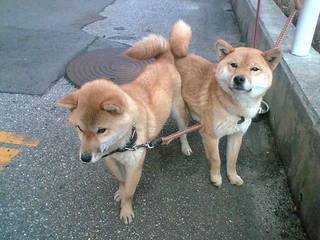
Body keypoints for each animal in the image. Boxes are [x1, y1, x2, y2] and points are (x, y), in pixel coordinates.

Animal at [56, 34, 191, 224]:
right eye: (80, 128)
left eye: (101, 130)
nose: (85, 158)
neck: (119, 145)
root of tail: (164, 59)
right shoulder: (110, 161)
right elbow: (121, 181)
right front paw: (120, 191)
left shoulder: (134, 167)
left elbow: (129, 192)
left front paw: (126, 210)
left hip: (178, 112)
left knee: (183, 131)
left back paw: (185, 146)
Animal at [169, 19, 282, 187]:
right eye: (234, 65)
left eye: (254, 69)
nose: (239, 78)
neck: (236, 107)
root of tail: (178, 57)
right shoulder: (212, 136)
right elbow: (217, 159)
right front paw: (216, 177)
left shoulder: (237, 135)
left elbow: (232, 160)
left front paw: (233, 177)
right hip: (181, 113)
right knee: (182, 132)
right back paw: (186, 147)